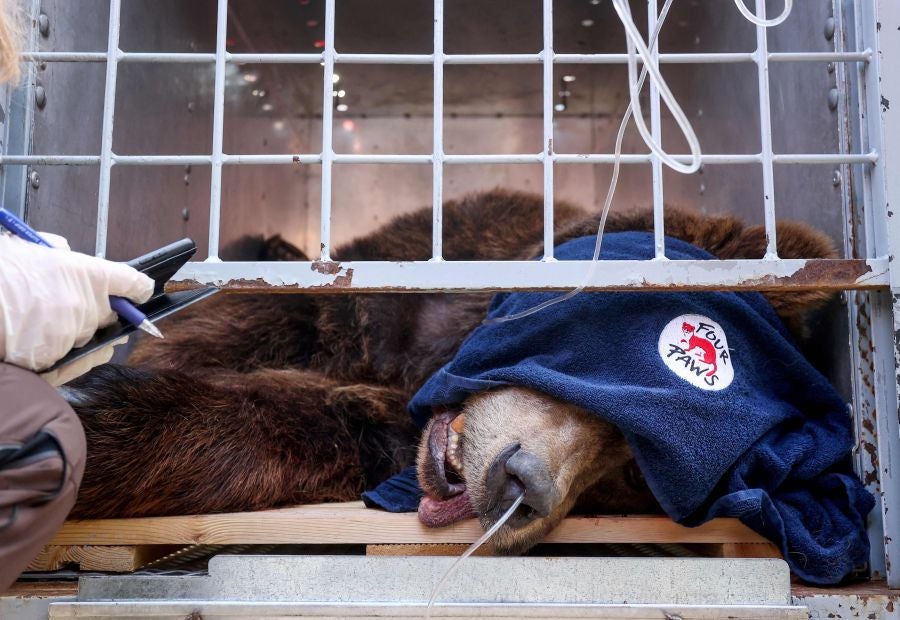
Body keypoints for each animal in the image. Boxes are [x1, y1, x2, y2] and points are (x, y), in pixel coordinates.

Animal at [64, 189, 837, 556]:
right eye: (600, 363)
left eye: (633, 471)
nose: (524, 486)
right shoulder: (411, 271)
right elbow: (273, 311)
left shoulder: (388, 423)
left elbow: (321, 423)